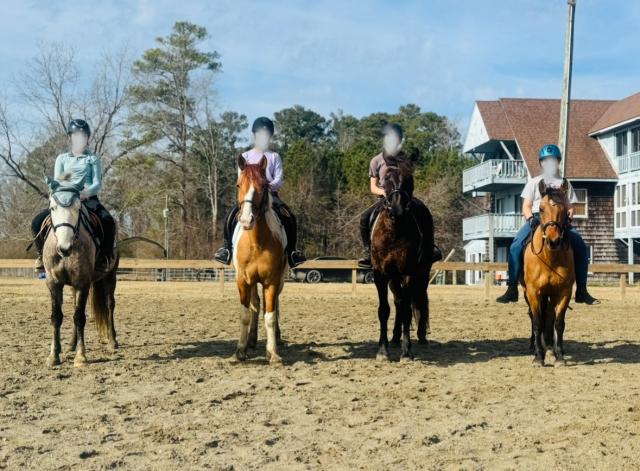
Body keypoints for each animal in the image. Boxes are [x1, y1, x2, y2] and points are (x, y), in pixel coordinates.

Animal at [42, 181, 119, 367]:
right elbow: (57, 316)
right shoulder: (53, 283)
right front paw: (54, 356)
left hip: (111, 276)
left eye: (78, 208)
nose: (64, 247)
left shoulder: (82, 283)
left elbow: (79, 317)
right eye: (52, 207)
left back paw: (112, 341)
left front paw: (81, 357)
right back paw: (70, 344)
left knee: (110, 305)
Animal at [232, 155, 286, 365]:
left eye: (264, 186)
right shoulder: (243, 280)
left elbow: (270, 315)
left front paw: (272, 353)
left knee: (275, 305)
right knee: (255, 306)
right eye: (239, 185)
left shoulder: (271, 281)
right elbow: (245, 313)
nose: (247, 220)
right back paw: (251, 340)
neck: (256, 243)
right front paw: (240, 350)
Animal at [371, 155, 435, 361]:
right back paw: (394, 338)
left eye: (408, 180)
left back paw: (421, 337)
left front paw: (407, 351)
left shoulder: (409, 273)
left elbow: (407, 311)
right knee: (398, 302)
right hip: (393, 278)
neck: (395, 231)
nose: (397, 211)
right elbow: (384, 310)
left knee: (419, 300)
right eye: (386, 180)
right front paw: (383, 350)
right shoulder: (381, 274)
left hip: (422, 274)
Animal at [522, 179, 575, 366]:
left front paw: (559, 356)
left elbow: (558, 323)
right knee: (534, 317)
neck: (549, 257)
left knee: (549, 317)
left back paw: (550, 347)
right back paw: (535, 347)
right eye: (541, 208)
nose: (553, 241)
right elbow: (537, 322)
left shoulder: (564, 292)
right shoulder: (533, 292)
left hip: (550, 294)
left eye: (565, 209)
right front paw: (538, 357)